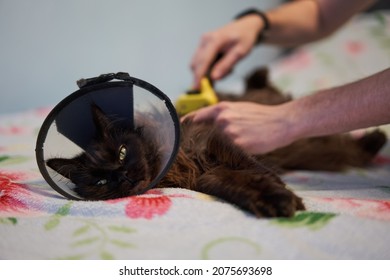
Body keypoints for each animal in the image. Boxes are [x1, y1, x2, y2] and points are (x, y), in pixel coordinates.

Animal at [46, 68, 386, 219]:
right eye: (102, 181)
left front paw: (281, 194)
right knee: (345, 147)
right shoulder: (204, 174)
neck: (179, 163)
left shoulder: (218, 143)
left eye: (122, 152)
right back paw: (376, 139)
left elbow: (257, 172)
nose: (124, 176)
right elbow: (229, 183)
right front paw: (271, 201)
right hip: (313, 150)